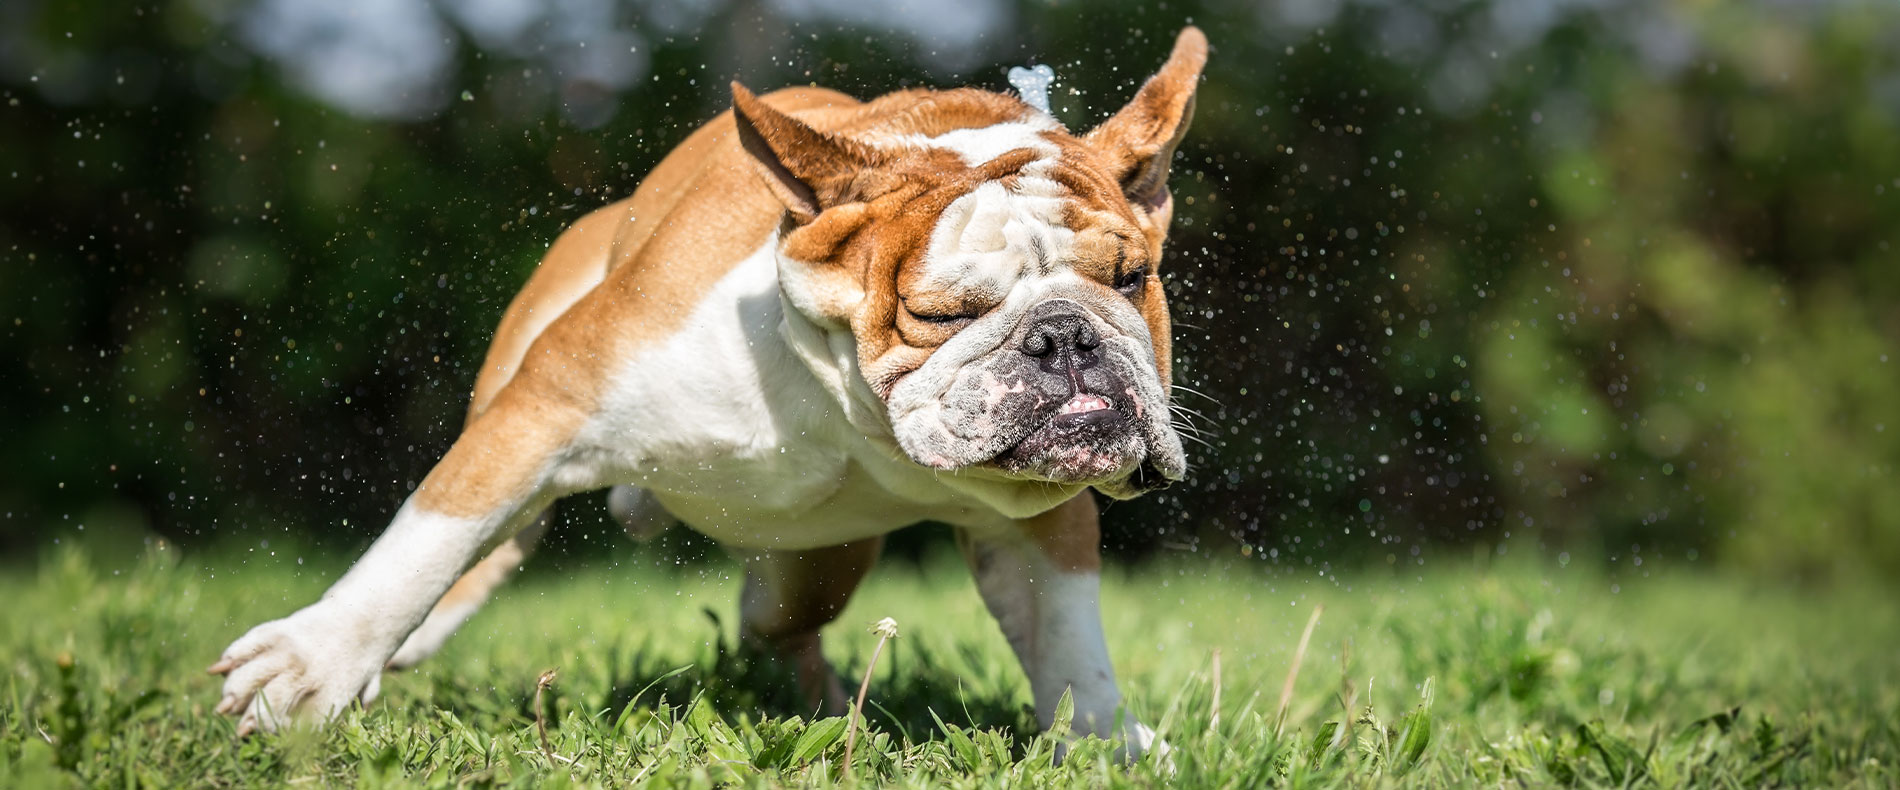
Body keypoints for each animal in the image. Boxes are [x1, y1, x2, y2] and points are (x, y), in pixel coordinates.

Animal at [208, 26, 1208, 759]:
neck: (840, 395)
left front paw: (1108, 742)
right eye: (938, 312)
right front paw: (314, 663)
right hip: (514, 389)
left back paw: (830, 711)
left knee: (774, 625)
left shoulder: (1044, 517)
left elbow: (1068, 634)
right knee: (491, 534)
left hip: (810, 569)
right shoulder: (551, 403)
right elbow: (427, 539)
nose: (1065, 337)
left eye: (1131, 281)